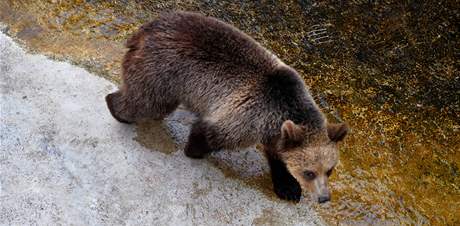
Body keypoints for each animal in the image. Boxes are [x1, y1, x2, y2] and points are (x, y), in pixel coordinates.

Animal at [105, 11, 348, 203]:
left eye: (330, 170)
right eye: (309, 173)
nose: (324, 198)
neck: (280, 111)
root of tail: (144, 29)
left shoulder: (273, 128)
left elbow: (277, 154)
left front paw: (288, 187)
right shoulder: (249, 115)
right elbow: (210, 132)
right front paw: (194, 149)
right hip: (162, 72)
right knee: (146, 102)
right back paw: (117, 108)